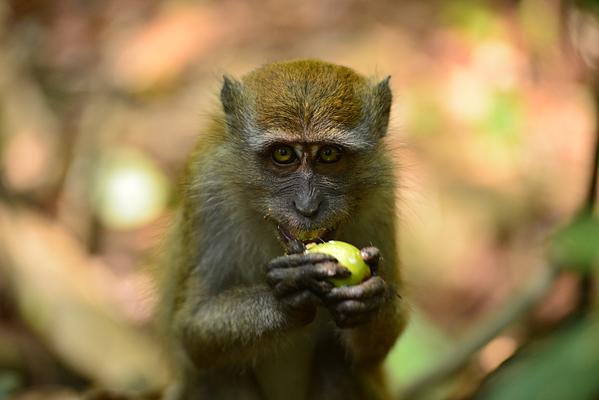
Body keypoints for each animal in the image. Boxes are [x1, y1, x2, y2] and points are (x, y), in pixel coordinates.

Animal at [155, 59, 408, 400]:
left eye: (329, 154)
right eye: (283, 154)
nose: (307, 206)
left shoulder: (382, 194)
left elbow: (373, 350)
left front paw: (368, 299)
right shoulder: (207, 187)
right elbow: (191, 330)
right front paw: (289, 291)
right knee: (218, 374)